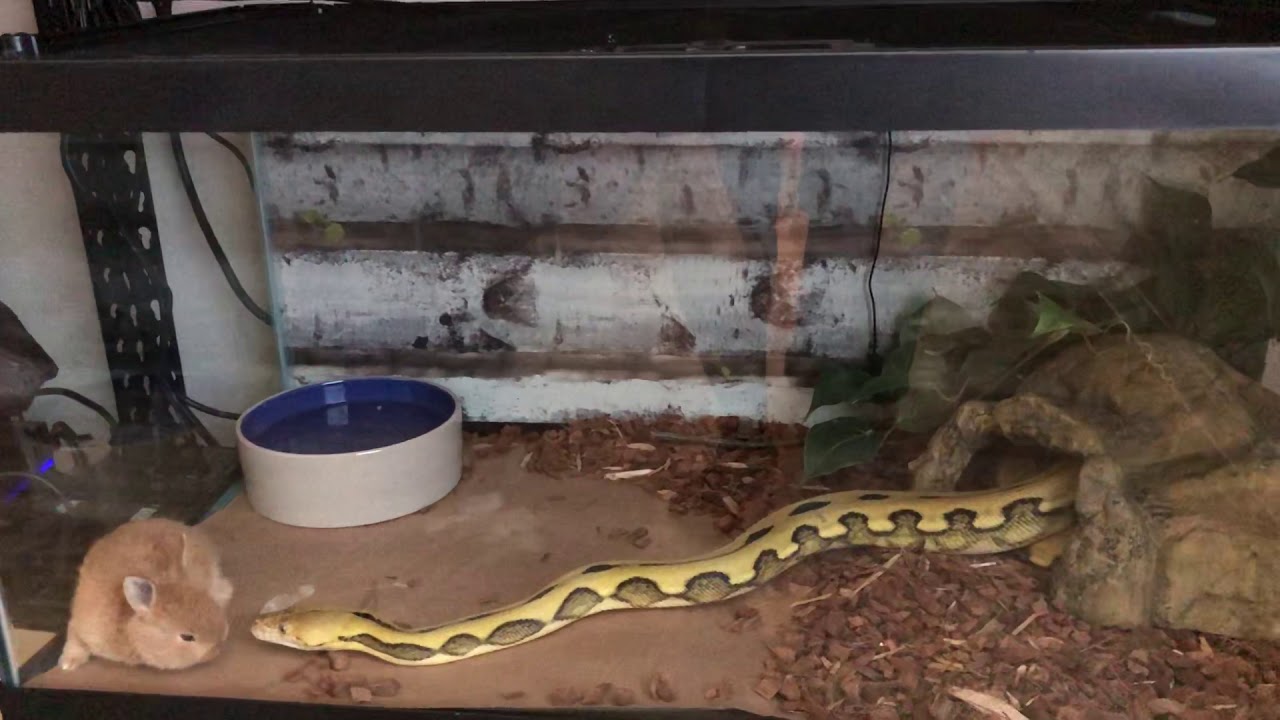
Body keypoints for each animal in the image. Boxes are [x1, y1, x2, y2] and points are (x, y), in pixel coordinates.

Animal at [58, 517, 234, 671]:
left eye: (211, 604)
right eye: (187, 637)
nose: (219, 646)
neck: (130, 629)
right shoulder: (85, 625)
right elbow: (74, 636)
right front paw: (68, 664)